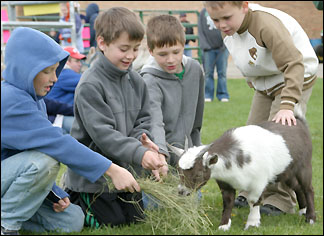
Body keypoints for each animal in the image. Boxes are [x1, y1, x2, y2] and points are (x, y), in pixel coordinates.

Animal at [168, 112, 316, 230]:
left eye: (198, 174)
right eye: (179, 170)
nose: (181, 191)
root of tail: (299, 122)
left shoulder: (258, 182)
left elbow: (253, 201)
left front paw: (252, 223)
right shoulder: (225, 184)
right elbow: (228, 202)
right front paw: (224, 225)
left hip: (304, 166)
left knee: (308, 188)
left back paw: (310, 218)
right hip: (287, 171)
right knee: (297, 187)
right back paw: (303, 210)